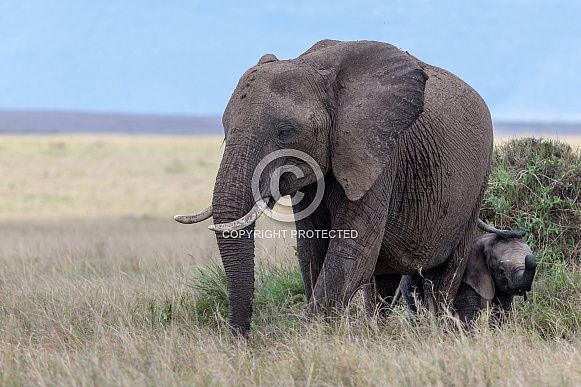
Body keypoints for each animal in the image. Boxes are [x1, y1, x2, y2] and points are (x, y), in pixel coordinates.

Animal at [174, 39, 492, 336]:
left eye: (284, 132)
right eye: (225, 130)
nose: (240, 342)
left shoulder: (377, 155)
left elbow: (352, 252)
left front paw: (308, 339)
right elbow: (311, 250)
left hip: (476, 186)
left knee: (444, 278)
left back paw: (442, 333)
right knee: (381, 284)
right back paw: (374, 332)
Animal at [394, 226, 536, 326]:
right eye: (501, 270)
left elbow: (500, 312)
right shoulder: (466, 278)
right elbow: (468, 314)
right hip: (410, 280)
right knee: (416, 308)